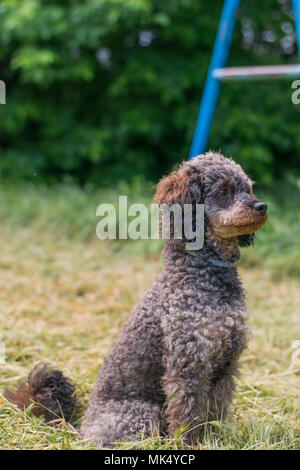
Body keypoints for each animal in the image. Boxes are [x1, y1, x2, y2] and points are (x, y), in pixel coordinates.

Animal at [5, 151, 268, 448]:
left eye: (248, 188)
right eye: (223, 191)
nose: (261, 206)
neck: (206, 272)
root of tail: (82, 431)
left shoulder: (227, 364)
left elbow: (216, 412)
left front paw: (217, 439)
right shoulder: (187, 368)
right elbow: (187, 417)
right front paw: (188, 444)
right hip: (143, 413)